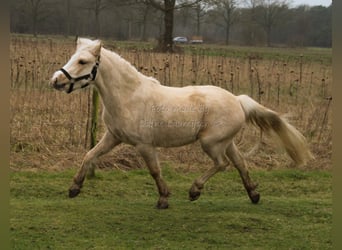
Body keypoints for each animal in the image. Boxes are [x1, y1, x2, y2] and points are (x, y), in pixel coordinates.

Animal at [49, 37, 314, 209]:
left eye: (83, 61)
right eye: (73, 57)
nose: (56, 81)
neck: (129, 96)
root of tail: (238, 101)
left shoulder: (144, 145)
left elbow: (155, 171)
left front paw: (164, 199)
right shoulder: (112, 137)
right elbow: (89, 155)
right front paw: (74, 188)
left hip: (211, 143)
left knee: (223, 164)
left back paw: (195, 191)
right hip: (226, 142)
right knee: (240, 163)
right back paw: (254, 194)